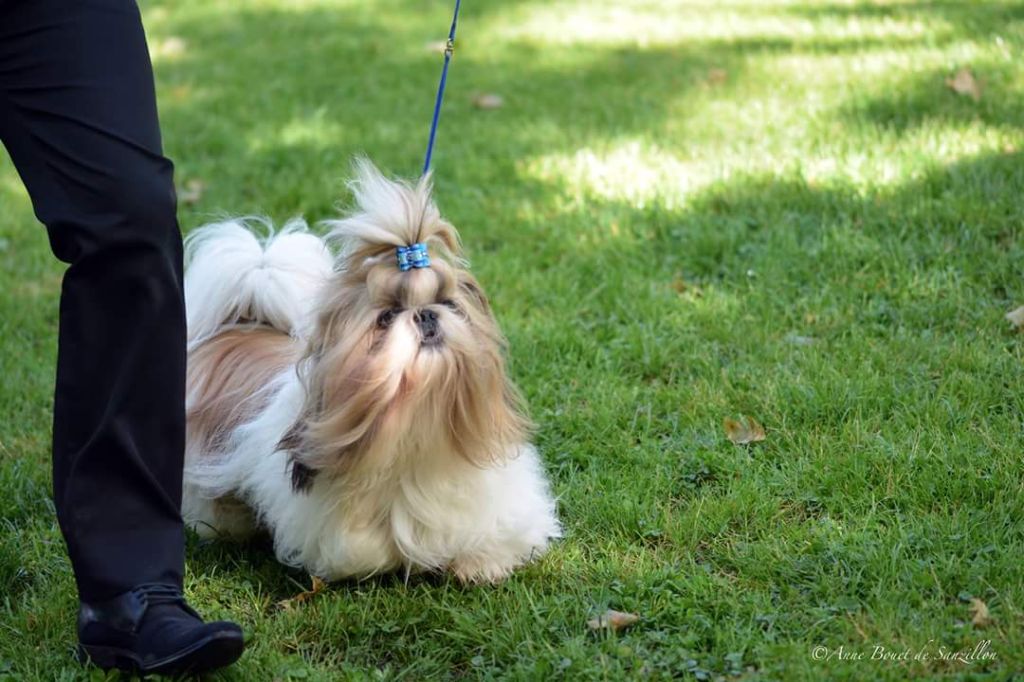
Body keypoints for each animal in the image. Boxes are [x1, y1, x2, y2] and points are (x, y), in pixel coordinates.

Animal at [183, 161, 565, 581]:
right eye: (386, 316)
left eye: (448, 303)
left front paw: (479, 564)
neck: (417, 426)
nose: (426, 315)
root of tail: (245, 322)